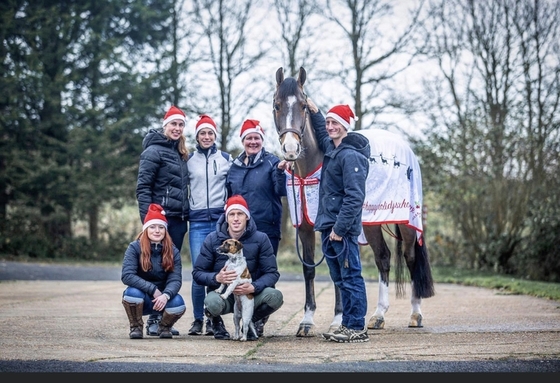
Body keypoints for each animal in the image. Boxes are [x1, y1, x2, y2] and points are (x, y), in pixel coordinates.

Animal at [274, 67, 436, 338]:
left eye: (303, 106)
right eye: (277, 105)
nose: (291, 149)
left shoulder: (331, 228)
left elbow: (338, 271)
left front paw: (338, 320)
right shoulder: (305, 227)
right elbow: (309, 269)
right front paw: (307, 321)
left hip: (406, 222)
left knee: (411, 257)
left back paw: (415, 314)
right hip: (370, 224)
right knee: (383, 258)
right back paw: (378, 315)